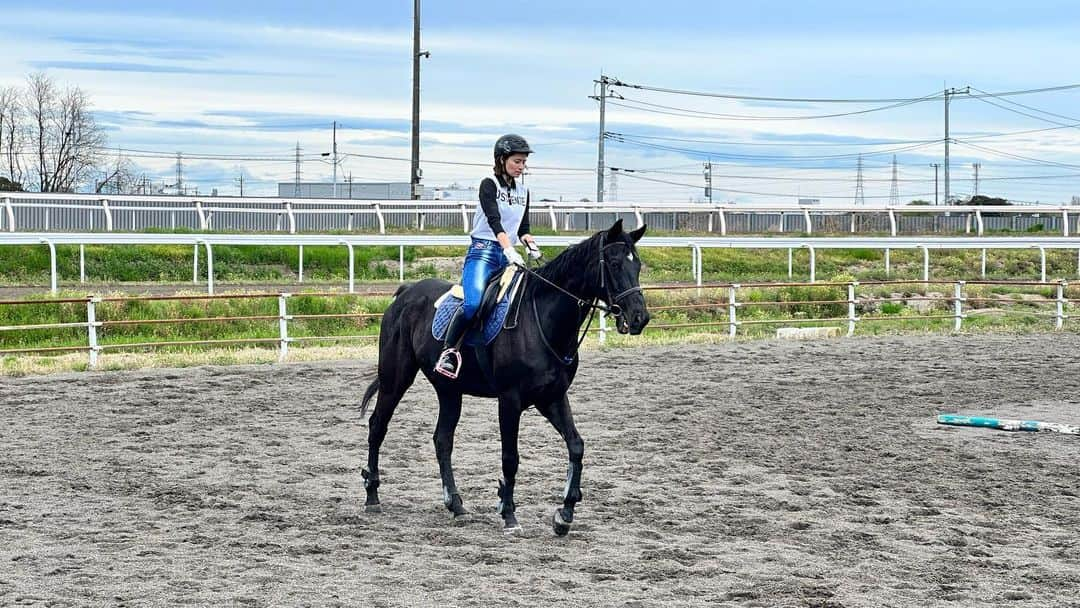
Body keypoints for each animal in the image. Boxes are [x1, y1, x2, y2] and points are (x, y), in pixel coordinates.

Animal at [362, 221, 648, 535]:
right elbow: (510, 458)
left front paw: (565, 513)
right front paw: (509, 513)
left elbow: (576, 446)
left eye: (638, 265)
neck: (541, 320)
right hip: (395, 379)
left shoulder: (553, 397)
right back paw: (372, 496)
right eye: (615, 263)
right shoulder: (509, 400)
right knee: (378, 426)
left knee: (442, 440)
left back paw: (456, 505)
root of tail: (406, 292)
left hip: (449, 390)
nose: (640, 318)